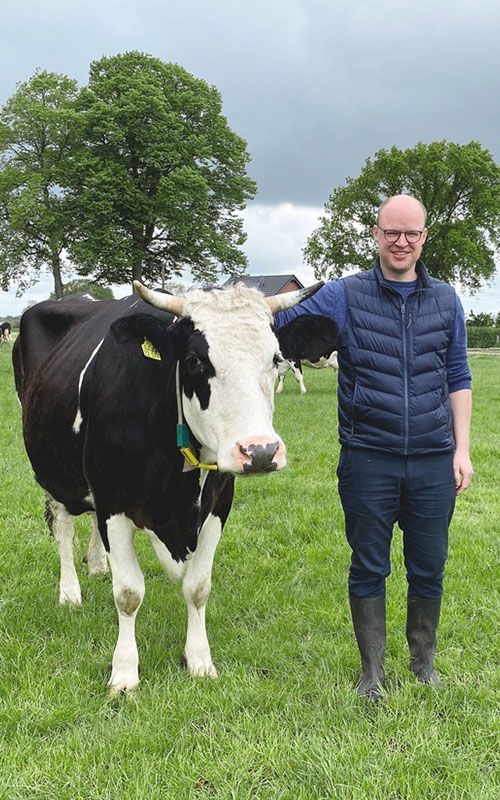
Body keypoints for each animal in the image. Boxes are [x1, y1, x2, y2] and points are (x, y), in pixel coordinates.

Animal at [12, 282, 340, 692]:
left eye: (276, 357)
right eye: (197, 361)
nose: (261, 451)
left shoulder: (218, 501)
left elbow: (198, 587)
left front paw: (199, 660)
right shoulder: (113, 500)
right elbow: (128, 593)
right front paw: (124, 673)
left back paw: (98, 565)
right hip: (50, 471)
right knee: (62, 527)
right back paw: (70, 591)